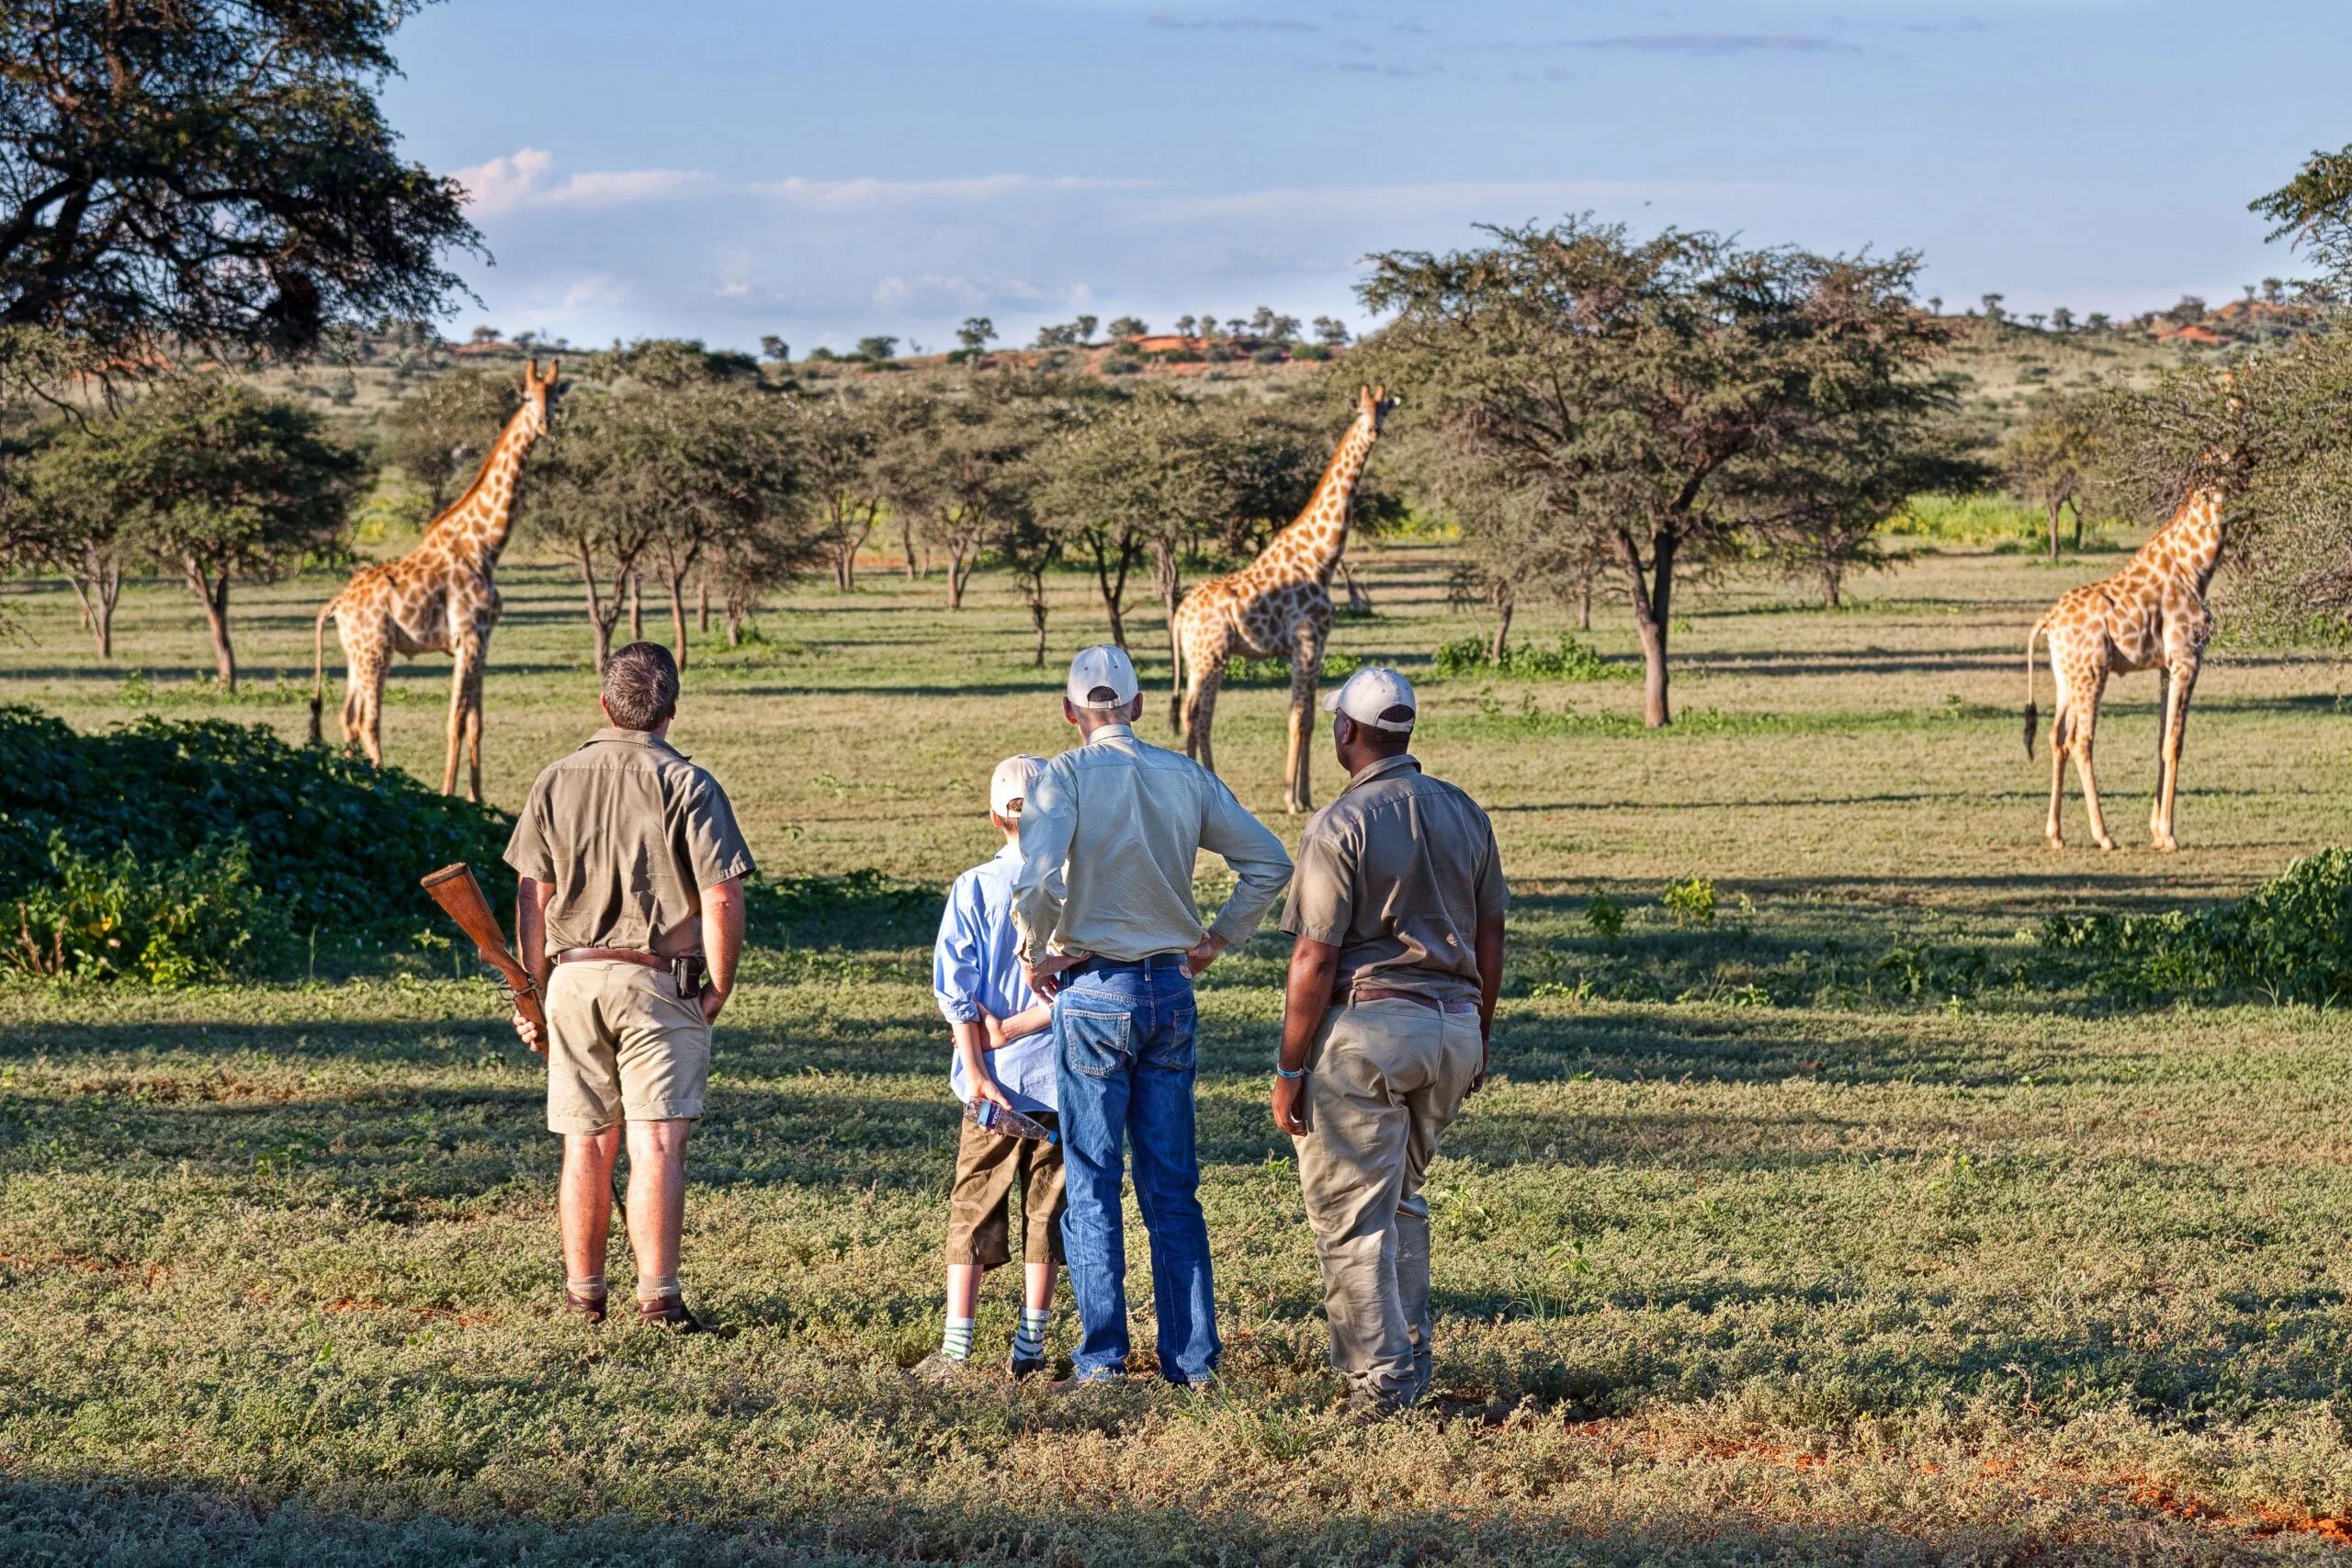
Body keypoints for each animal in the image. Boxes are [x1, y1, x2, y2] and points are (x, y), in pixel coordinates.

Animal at [310, 355, 557, 799]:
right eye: (529, 397)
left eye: (557, 396)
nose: (545, 424)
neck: (485, 545)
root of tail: (337, 604)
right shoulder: (467, 637)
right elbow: (455, 722)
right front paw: (447, 795)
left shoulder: (484, 641)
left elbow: (476, 722)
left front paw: (477, 798)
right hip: (377, 650)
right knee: (368, 720)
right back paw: (382, 784)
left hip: (357, 652)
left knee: (347, 717)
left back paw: (353, 780)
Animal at [1176, 385, 1392, 818]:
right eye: (1361, 411)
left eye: (1385, 410)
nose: (1374, 431)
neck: (1321, 557)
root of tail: (1178, 614)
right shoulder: (1306, 640)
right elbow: (1299, 717)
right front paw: (1292, 799)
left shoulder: (1317, 644)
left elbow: (1309, 716)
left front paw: (1305, 795)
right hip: (1211, 657)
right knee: (1198, 715)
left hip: (1196, 659)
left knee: (1191, 712)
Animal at [2022, 442, 2239, 860]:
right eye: (2222, 459)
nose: (2249, 461)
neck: (2197, 569)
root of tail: (2049, 621)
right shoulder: (2188, 658)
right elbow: (2175, 742)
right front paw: (2168, 836)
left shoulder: (2166, 667)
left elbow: (2160, 741)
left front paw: (2156, 831)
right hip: (2091, 674)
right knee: (2080, 741)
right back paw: (2103, 835)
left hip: (2066, 677)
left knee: (2056, 737)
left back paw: (2055, 833)